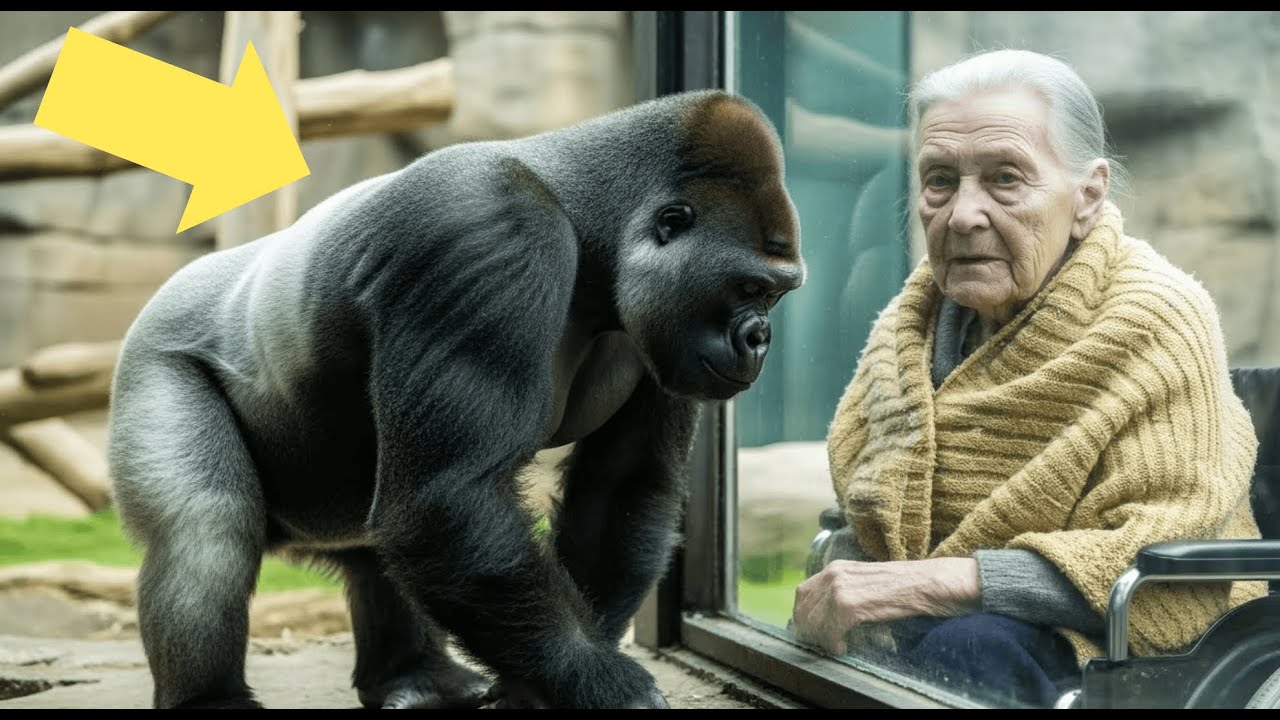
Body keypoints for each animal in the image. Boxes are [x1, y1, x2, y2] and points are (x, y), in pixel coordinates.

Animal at [105, 88, 805, 709]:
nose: (760, 340)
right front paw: (598, 679)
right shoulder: (486, 234)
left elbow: (620, 488)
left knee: (374, 544)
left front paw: (546, 685)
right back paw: (211, 698)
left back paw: (416, 676)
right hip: (153, 355)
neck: (586, 220)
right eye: (749, 287)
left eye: (775, 294)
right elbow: (450, 495)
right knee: (206, 530)